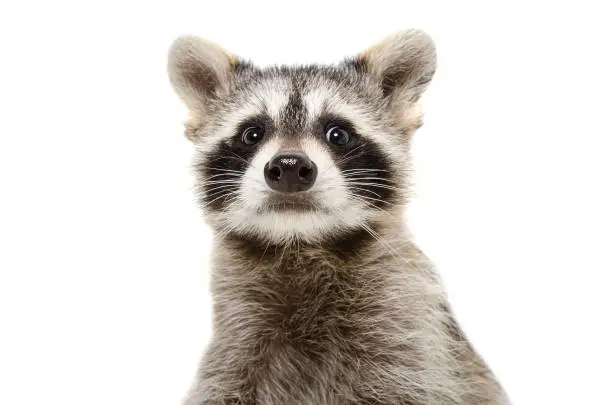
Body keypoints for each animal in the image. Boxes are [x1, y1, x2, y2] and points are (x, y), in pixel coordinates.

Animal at [167, 29, 506, 404]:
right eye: (252, 134)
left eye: (338, 134)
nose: (289, 167)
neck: (299, 245)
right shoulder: (235, 349)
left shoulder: (411, 341)